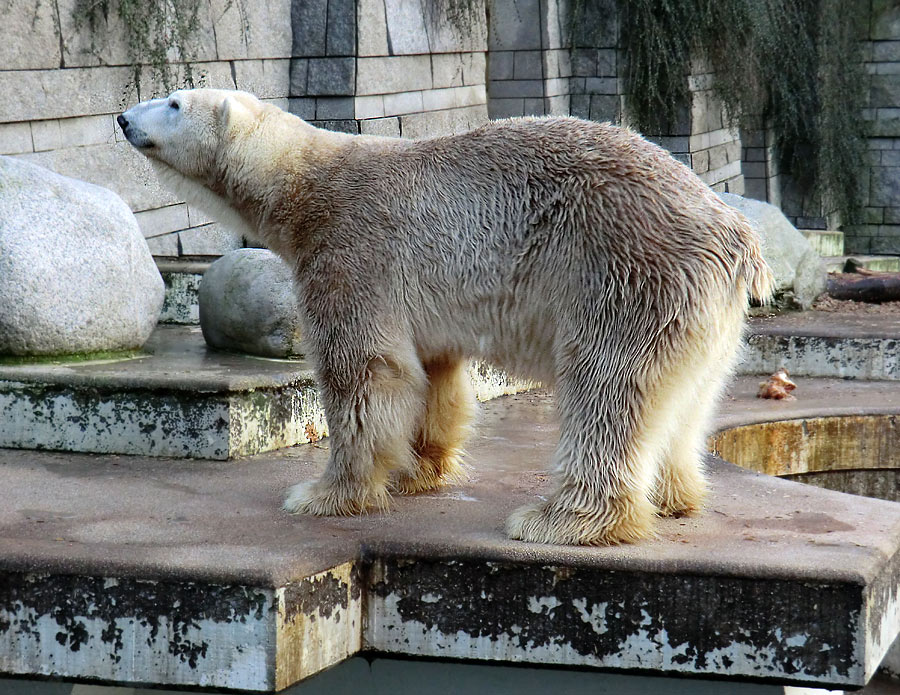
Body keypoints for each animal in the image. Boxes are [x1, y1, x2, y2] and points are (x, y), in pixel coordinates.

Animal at [116, 88, 768, 544]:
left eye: (174, 101)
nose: (122, 118)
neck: (305, 183)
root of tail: (734, 232)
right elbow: (433, 375)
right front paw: (419, 471)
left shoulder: (352, 249)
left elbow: (364, 373)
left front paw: (326, 493)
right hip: (706, 316)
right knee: (685, 399)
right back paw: (674, 496)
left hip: (626, 274)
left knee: (607, 388)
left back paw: (558, 521)